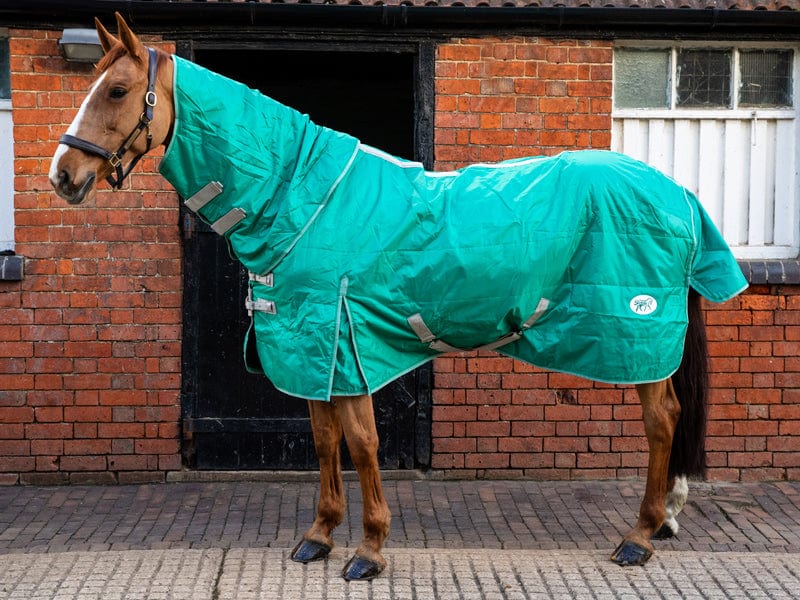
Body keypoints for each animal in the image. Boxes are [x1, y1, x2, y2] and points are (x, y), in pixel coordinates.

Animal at [50, 14, 747, 581]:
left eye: (116, 91)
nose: (63, 176)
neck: (303, 198)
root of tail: (677, 193)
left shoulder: (345, 339)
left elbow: (361, 443)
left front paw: (369, 551)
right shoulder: (309, 348)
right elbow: (324, 440)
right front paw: (318, 538)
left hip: (639, 333)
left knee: (662, 421)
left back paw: (639, 536)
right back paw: (663, 521)